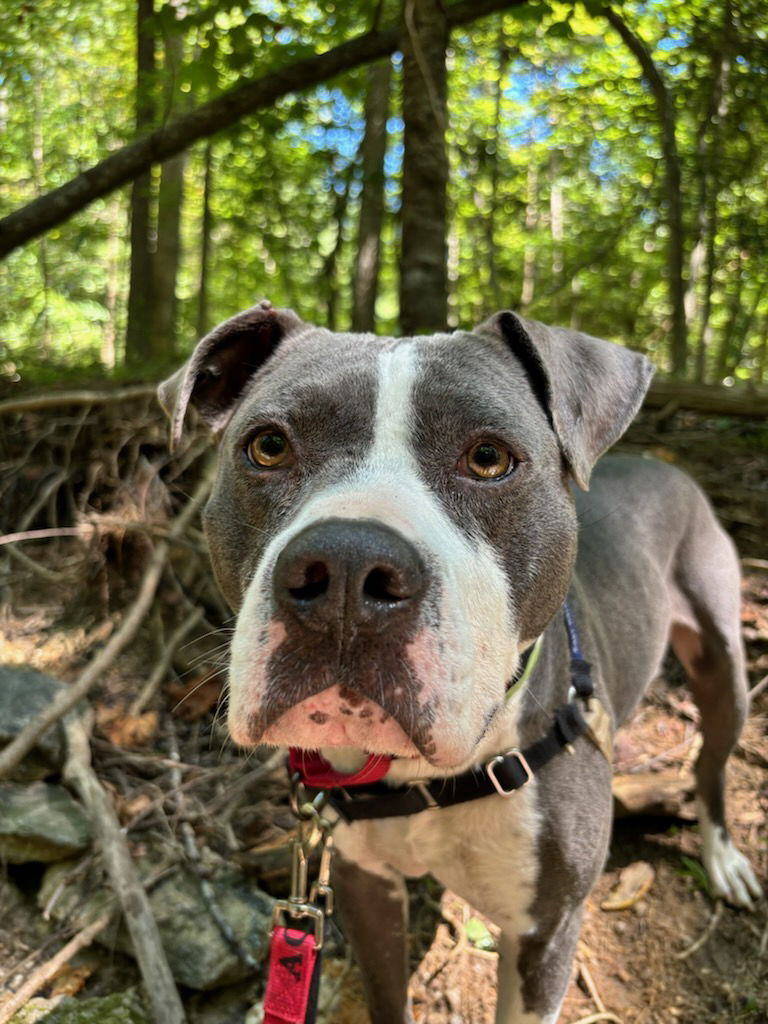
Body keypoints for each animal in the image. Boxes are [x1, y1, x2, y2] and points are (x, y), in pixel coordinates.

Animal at [157, 299, 765, 1019]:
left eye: (488, 457)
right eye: (268, 446)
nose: (346, 568)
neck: (423, 780)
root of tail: (665, 463)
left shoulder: (544, 933)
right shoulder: (365, 889)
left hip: (724, 661)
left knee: (712, 760)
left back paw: (722, 856)